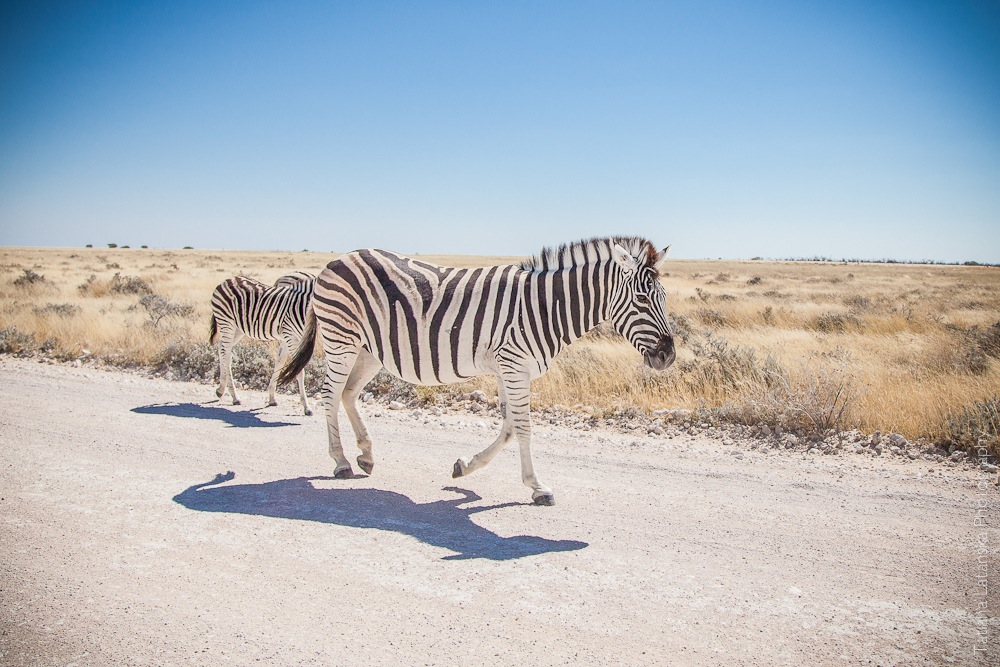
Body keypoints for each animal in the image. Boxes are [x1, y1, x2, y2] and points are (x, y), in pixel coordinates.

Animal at [210, 272, 316, 412]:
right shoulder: (290, 336)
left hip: (238, 329)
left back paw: (221, 390)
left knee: (222, 349)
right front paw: (306, 407)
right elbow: (298, 370)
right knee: (226, 355)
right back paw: (235, 397)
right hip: (227, 323)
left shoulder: (290, 337)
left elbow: (280, 362)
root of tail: (226, 280)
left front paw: (271, 398)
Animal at [278, 237, 676, 504]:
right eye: (642, 298)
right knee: (330, 395)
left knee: (347, 394)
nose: (669, 356)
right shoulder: (514, 366)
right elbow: (524, 428)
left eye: (664, 297)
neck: (546, 307)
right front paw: (537, 487)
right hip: (341, 339)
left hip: (368, 349)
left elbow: (510, 428)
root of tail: (334, 261)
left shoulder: (509, 369)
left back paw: (365, 455)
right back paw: (341, 461)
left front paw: (464, 467)